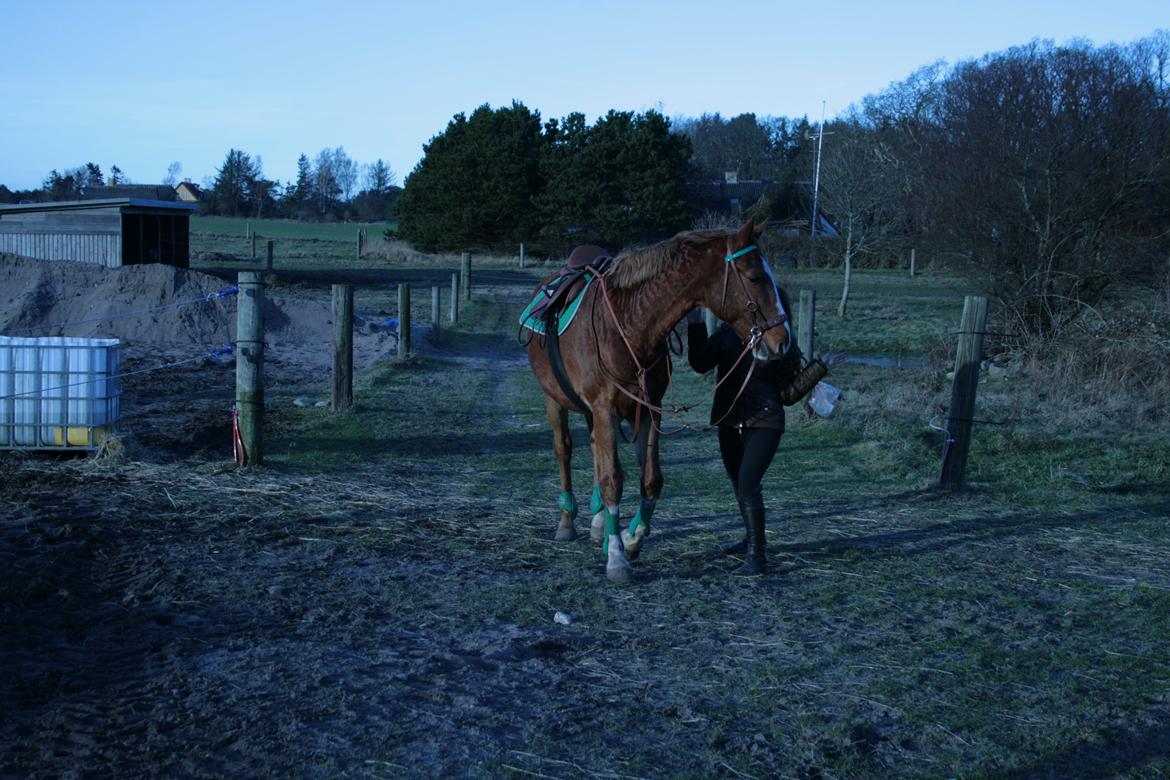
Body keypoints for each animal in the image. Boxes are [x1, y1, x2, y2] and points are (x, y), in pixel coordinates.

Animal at [526, 219, 790, 580]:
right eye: (754, 277)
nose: (783, 340)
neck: (628, 324)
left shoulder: (649, 411)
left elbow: (650, 479)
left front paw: (630, 539)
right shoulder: (605, 408)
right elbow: (613, 480)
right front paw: (617, 558)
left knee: (594, 447)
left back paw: (598, 524)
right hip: (554, 398)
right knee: (564, 449)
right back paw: (567, 520)